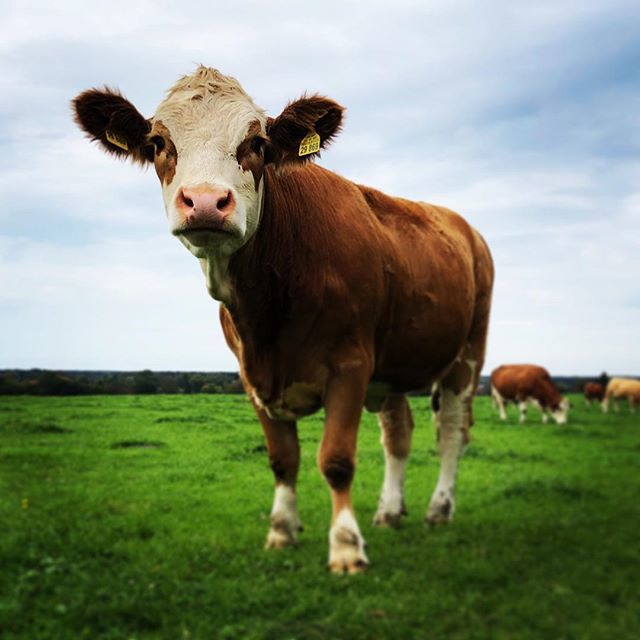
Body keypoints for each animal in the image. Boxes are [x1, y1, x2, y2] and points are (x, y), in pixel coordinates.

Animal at [72, 66, 494, 574]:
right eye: (157, 143)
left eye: (257, 143)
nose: (206, 202)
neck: (269, 312)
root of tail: (464, 226)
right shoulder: (252, 375)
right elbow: (282, 459)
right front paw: (282, 531)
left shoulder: (350, 366)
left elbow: (336, 460)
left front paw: (346, 547)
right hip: (393, 360)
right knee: (398, 432)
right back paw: (390, 512)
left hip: (467, 354)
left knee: (451, 432)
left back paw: (438, 509)